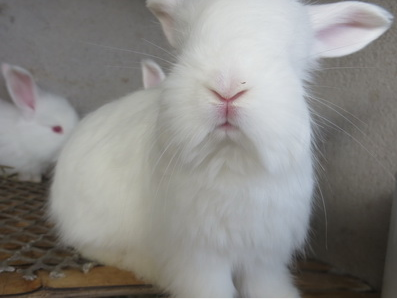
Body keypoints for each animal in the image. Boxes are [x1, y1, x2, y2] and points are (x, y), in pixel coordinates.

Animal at [48, 0, 392, 298]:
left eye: (287, 52)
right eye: (187, 44)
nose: (227, 87)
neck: (230, 156)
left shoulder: (264, 255)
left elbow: (267, 285)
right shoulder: (198, 256)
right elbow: (209, 288)